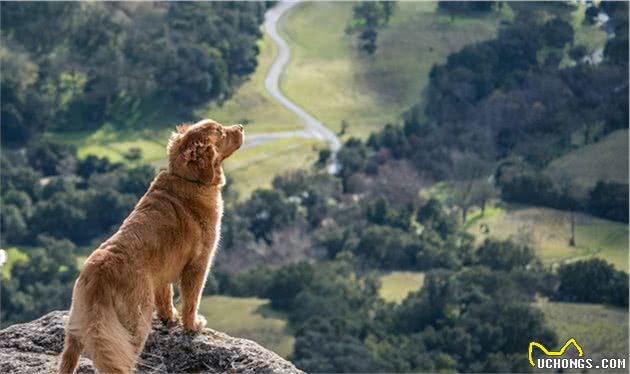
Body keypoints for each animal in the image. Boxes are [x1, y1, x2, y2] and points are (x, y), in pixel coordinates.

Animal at [58, 118, 244, 372]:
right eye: (221, 132)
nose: (241, 127)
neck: (188, 178)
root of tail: (99, 273)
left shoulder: (163, 271)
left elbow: (166, 296)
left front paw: (169, 317)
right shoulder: (198, 263)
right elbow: (191, 300)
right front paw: (192, 324)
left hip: (77, 325)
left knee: (69, 358)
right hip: (135, 321)